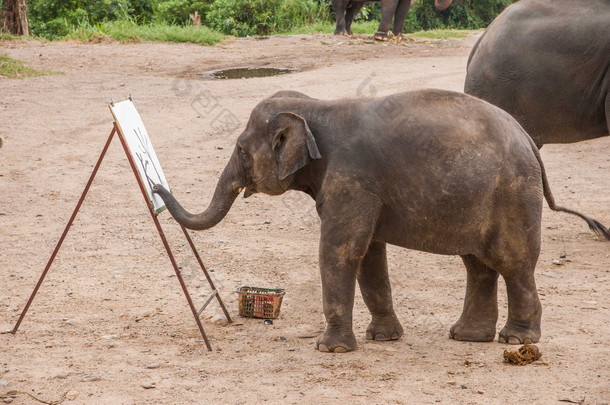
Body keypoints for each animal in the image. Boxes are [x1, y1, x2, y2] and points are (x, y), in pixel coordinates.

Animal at [152, 88, 604, 350]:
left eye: (241, 151)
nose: (154, 188)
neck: (317, 106)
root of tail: (528, 138)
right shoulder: (361, 189)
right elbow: (369, 253)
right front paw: (382, 339)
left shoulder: (353, 179)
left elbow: (339, 251)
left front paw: (331, 349)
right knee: (478, 265)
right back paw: (467, 337)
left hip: (513, 194)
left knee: (513, 263)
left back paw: (515, 340)